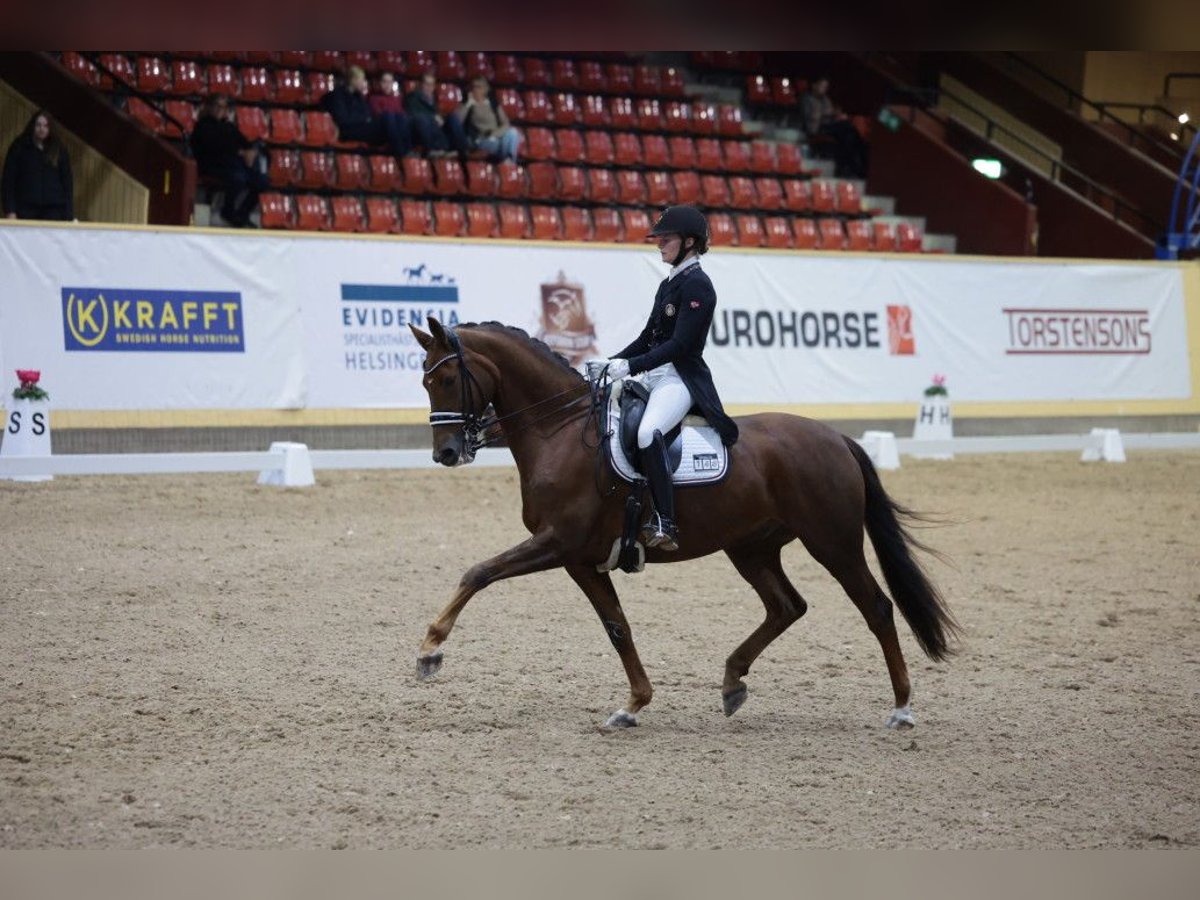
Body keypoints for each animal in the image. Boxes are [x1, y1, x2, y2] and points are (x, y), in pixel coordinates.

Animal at [410, 321, 955, 729]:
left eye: (447, 379)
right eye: (424, 381)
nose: (446, 453)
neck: (559, 433)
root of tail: (836, 437)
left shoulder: (558, 544)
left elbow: (479, 572)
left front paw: (430, 650)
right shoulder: (581, 559)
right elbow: (617, 626)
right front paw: (632, 705)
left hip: (832, 542)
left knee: (877, 608)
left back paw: (902, 708)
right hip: (751, 548)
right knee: (787, 606)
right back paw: (733, 682)